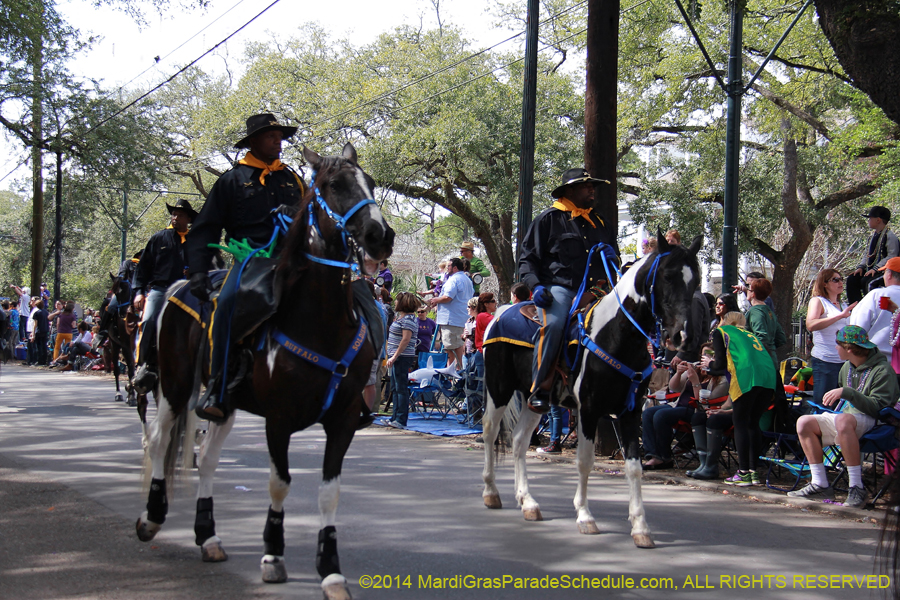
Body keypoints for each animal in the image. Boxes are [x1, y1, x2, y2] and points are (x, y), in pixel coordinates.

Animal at [136, 143, 394, 596]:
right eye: (333, 184)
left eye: (371, 183)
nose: (380, 237)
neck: (320, 321)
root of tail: (179, 287)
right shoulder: (279, 418)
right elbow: (280, 483)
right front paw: (273, 554)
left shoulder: (343, 419)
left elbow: (329, 493)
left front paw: (330, 569)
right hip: (174, 386)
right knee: (158, 440)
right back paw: (151, 519)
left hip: (222, 403)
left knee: (207, 461)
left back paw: (208, 536)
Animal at [478, 233, 704, 548]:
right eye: (668, 276)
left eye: (696, 280)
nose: (683, 336)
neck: (618, 335)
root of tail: (500, 313)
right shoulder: (589, 410)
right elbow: (585, 462)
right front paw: (585, 517)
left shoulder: (631, 412)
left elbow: (634, 467)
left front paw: (640, 527)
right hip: (499, 387)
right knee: (489, 431)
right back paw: (491, 493)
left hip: (536, 400)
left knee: (520, 441)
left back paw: (528, 502)